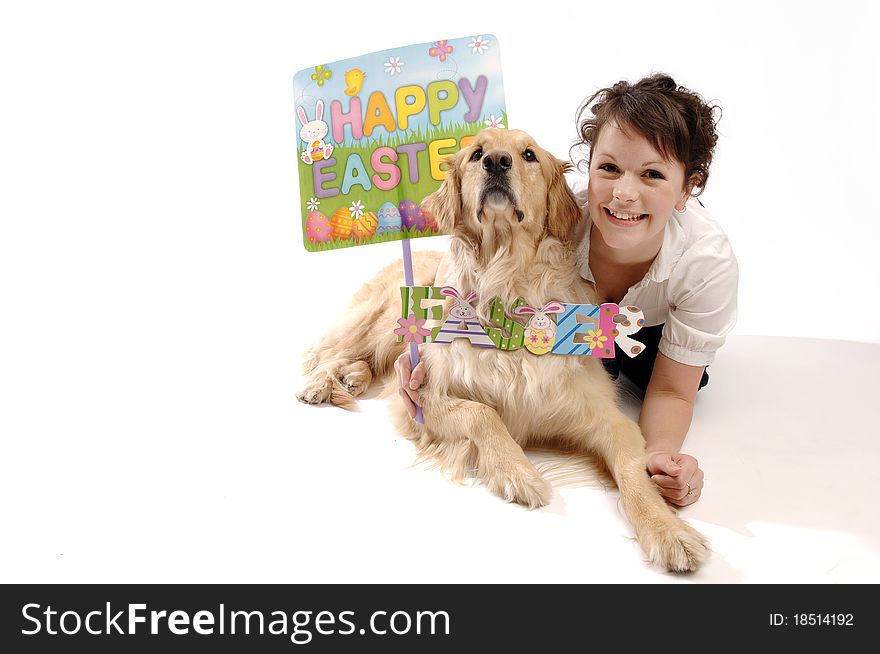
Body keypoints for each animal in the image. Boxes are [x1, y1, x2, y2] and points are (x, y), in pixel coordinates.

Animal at [300, 128, 712, 576]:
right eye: (476, 153)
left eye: (529, 155)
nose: (496, 162)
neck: (507, 279)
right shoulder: (422, 397)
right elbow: (484, 413)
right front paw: (518, 472)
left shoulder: (607, 419)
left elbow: (634, 471)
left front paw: (669, 530)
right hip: (384, 321)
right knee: (333, 351)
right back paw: (322, 383)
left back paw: (353, 378)